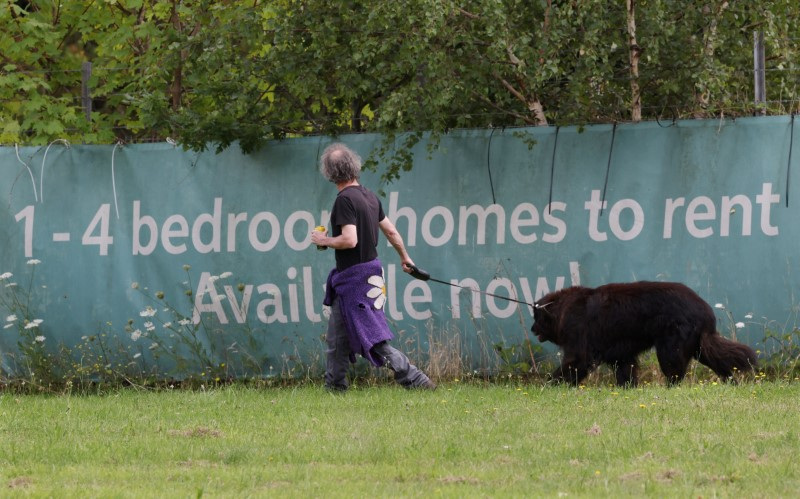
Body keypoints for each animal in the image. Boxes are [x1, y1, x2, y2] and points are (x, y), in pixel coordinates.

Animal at [532, 282, 756, 386]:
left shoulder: (580, 346)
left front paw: (550, 385)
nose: (533, 330)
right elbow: (625, 371)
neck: (562, 309)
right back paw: (732, 383)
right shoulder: (621, 354)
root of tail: (705, 310)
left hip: (670, 346)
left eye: (537, 318)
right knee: (719, 360)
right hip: (698, 345)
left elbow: (572, 365)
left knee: (674, 371)